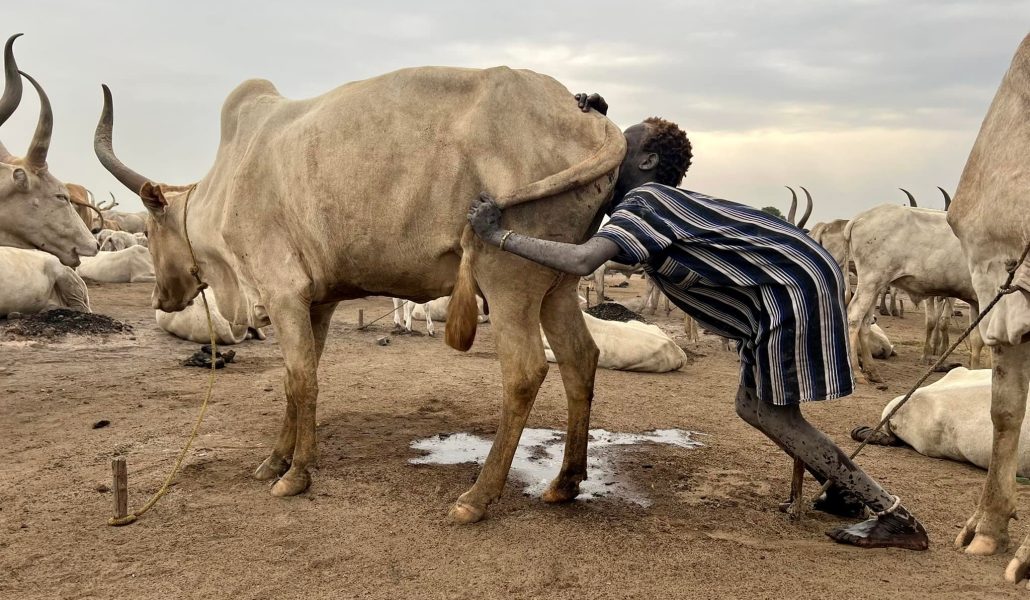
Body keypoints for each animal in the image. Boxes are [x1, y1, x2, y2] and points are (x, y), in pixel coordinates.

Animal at [96, 66, 622, 526]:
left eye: (149, 229)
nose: (160, 299)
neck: (229, 181)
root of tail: (590, 120)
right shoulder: (317, 302)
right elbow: (296, 379)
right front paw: (276, 460)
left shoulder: (282, 292)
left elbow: (301, 381)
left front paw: (296, 474)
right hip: (557, 285)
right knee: (580, 358)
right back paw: (566, 481)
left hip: (508, 279)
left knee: (525, 372)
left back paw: (478, 495)